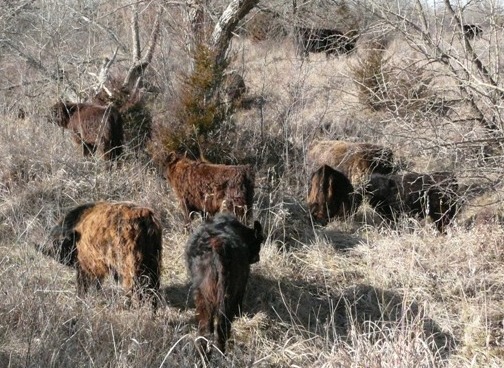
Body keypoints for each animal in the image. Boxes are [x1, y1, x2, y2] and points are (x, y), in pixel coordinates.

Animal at [185, 213, 264, 360]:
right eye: (258, 244)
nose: (257, 258)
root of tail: (218, 245)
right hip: (227, 294)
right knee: (222, 326)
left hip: (204, 295)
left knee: (206, 329)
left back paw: (204, 357)